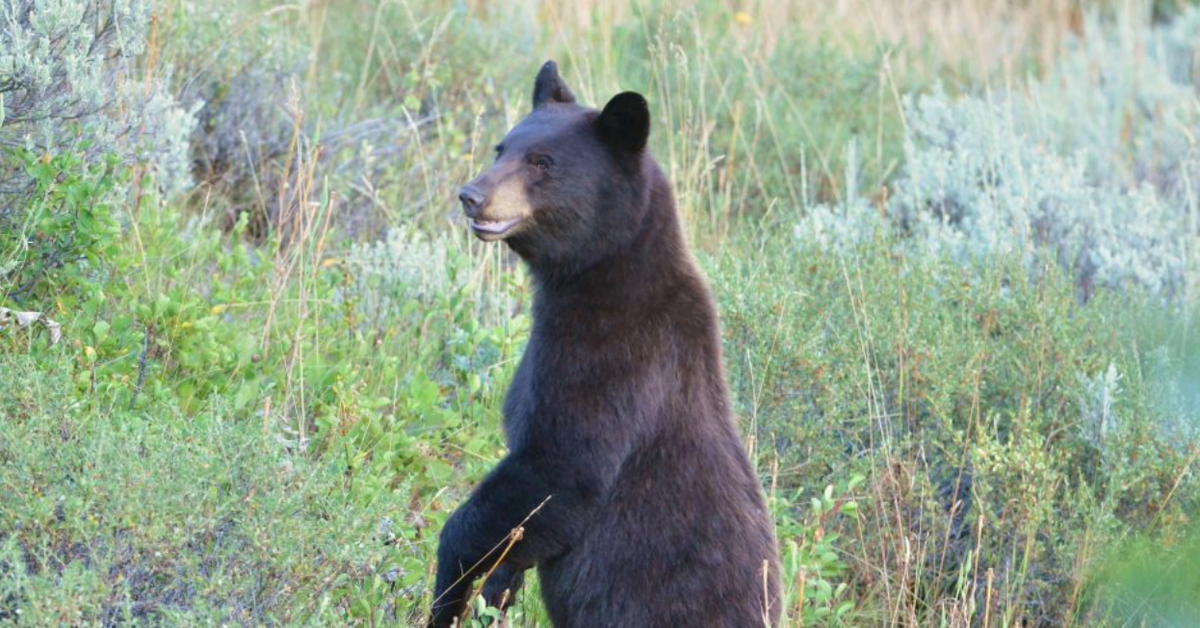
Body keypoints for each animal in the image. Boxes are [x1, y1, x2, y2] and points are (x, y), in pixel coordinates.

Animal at [431, 60, 782, 628]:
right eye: (501, 148)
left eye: (542, 162)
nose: (471, 195)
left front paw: (450, 591)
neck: (599, 274)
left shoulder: (613, 354)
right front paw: (497, 589)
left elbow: (559, 468)